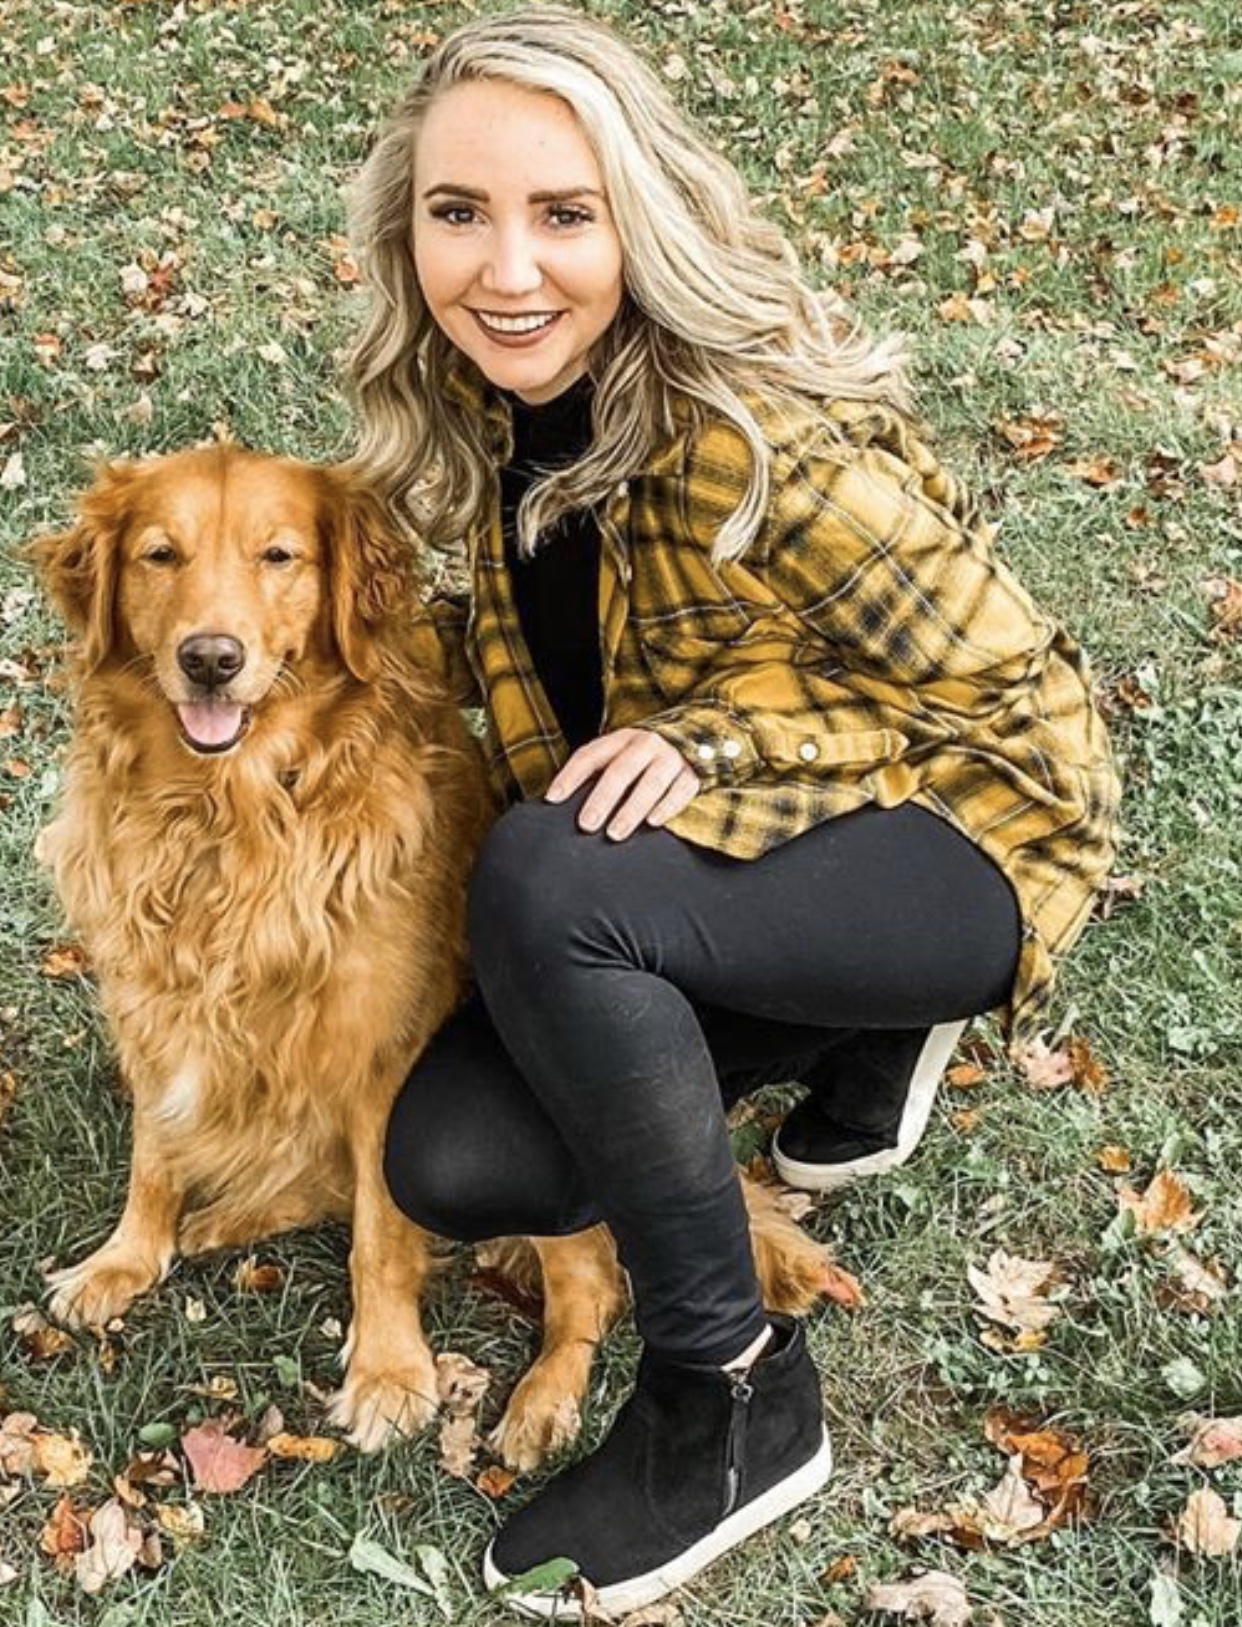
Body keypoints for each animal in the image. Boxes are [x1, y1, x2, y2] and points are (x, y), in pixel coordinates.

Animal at [31, 444, 836, 1468]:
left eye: (279, 555)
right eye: (159, 555)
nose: (210, 660)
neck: (229, 816)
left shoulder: (381, 1054)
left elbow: (381, 1234)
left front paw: (388, 1372)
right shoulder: (152, 1004)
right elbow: (154, 1152)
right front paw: (125, 1256)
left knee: (589, 1287)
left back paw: (541, 1401)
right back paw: (222, 1220)